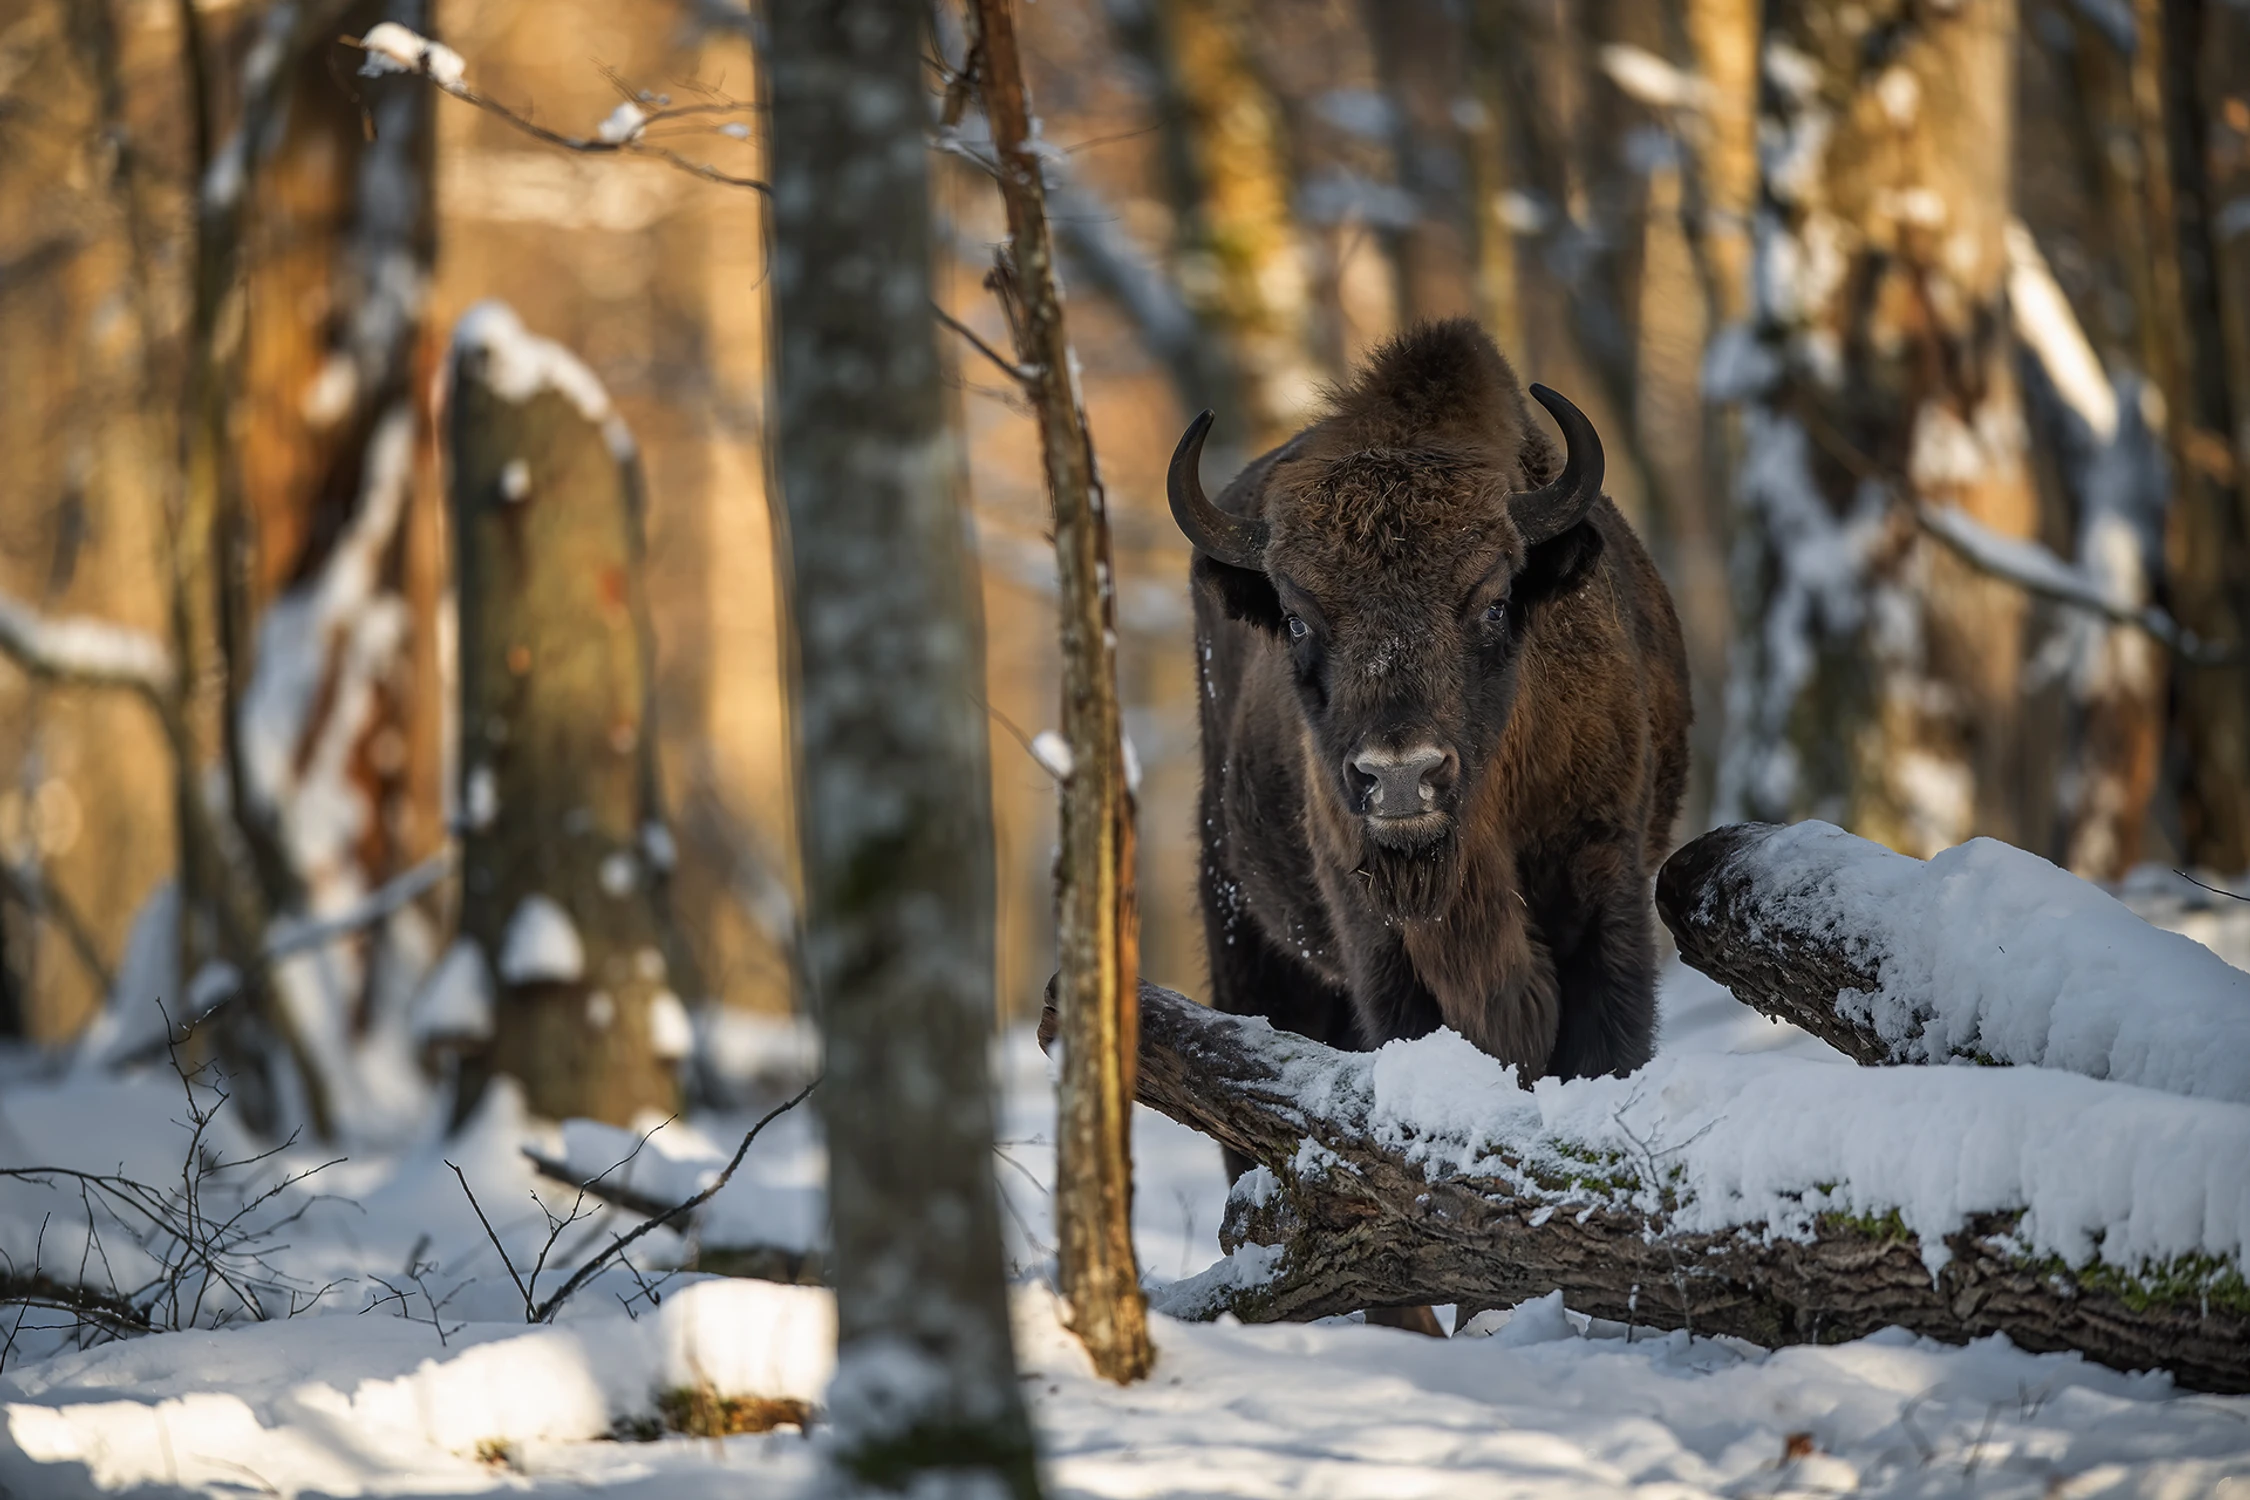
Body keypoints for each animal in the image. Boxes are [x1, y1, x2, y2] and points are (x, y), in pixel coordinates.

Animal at [1179, 319, 1692, 1115]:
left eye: (1495, 602)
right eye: (1296, 619)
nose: (1399, 775)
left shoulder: (1603, 885)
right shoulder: (1379, 944)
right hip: (1245, 931)